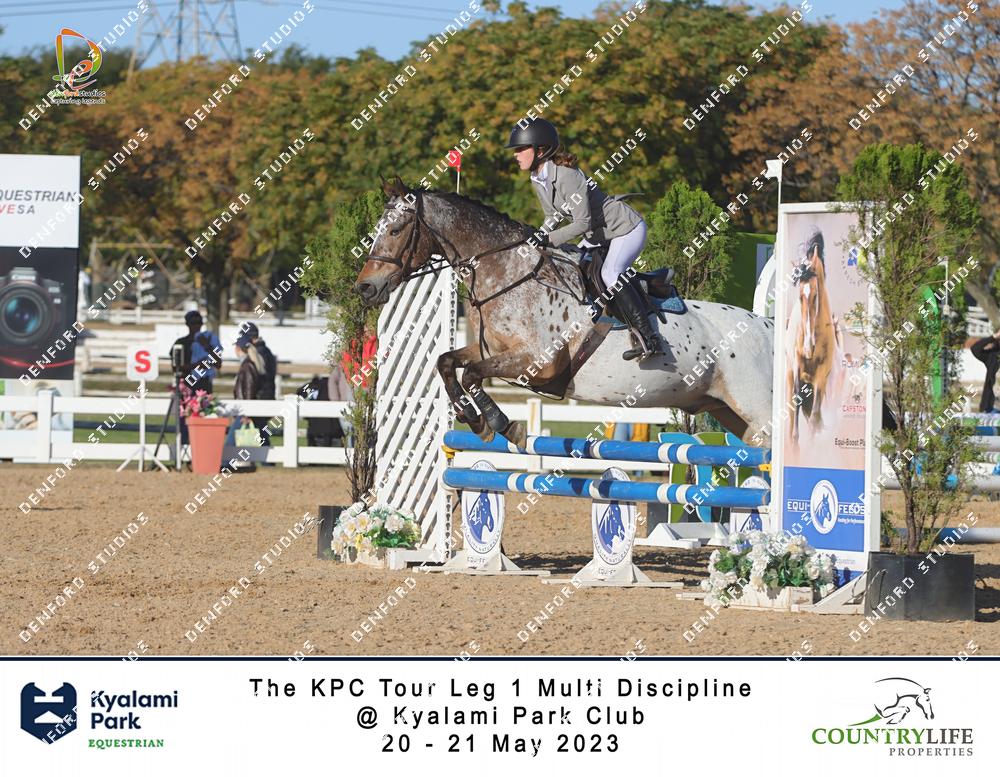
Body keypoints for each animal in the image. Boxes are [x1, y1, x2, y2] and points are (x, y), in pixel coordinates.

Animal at [354, 178, 775, 450]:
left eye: (395, 230)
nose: (366, 287)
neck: (507, 273)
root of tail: (767, 325)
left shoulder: (538, 363)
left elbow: (472, 375)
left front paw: (503, 426)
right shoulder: (492, 352)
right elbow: (446, 362)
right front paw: (474, 422)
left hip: (759, 409)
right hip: (729, 413)